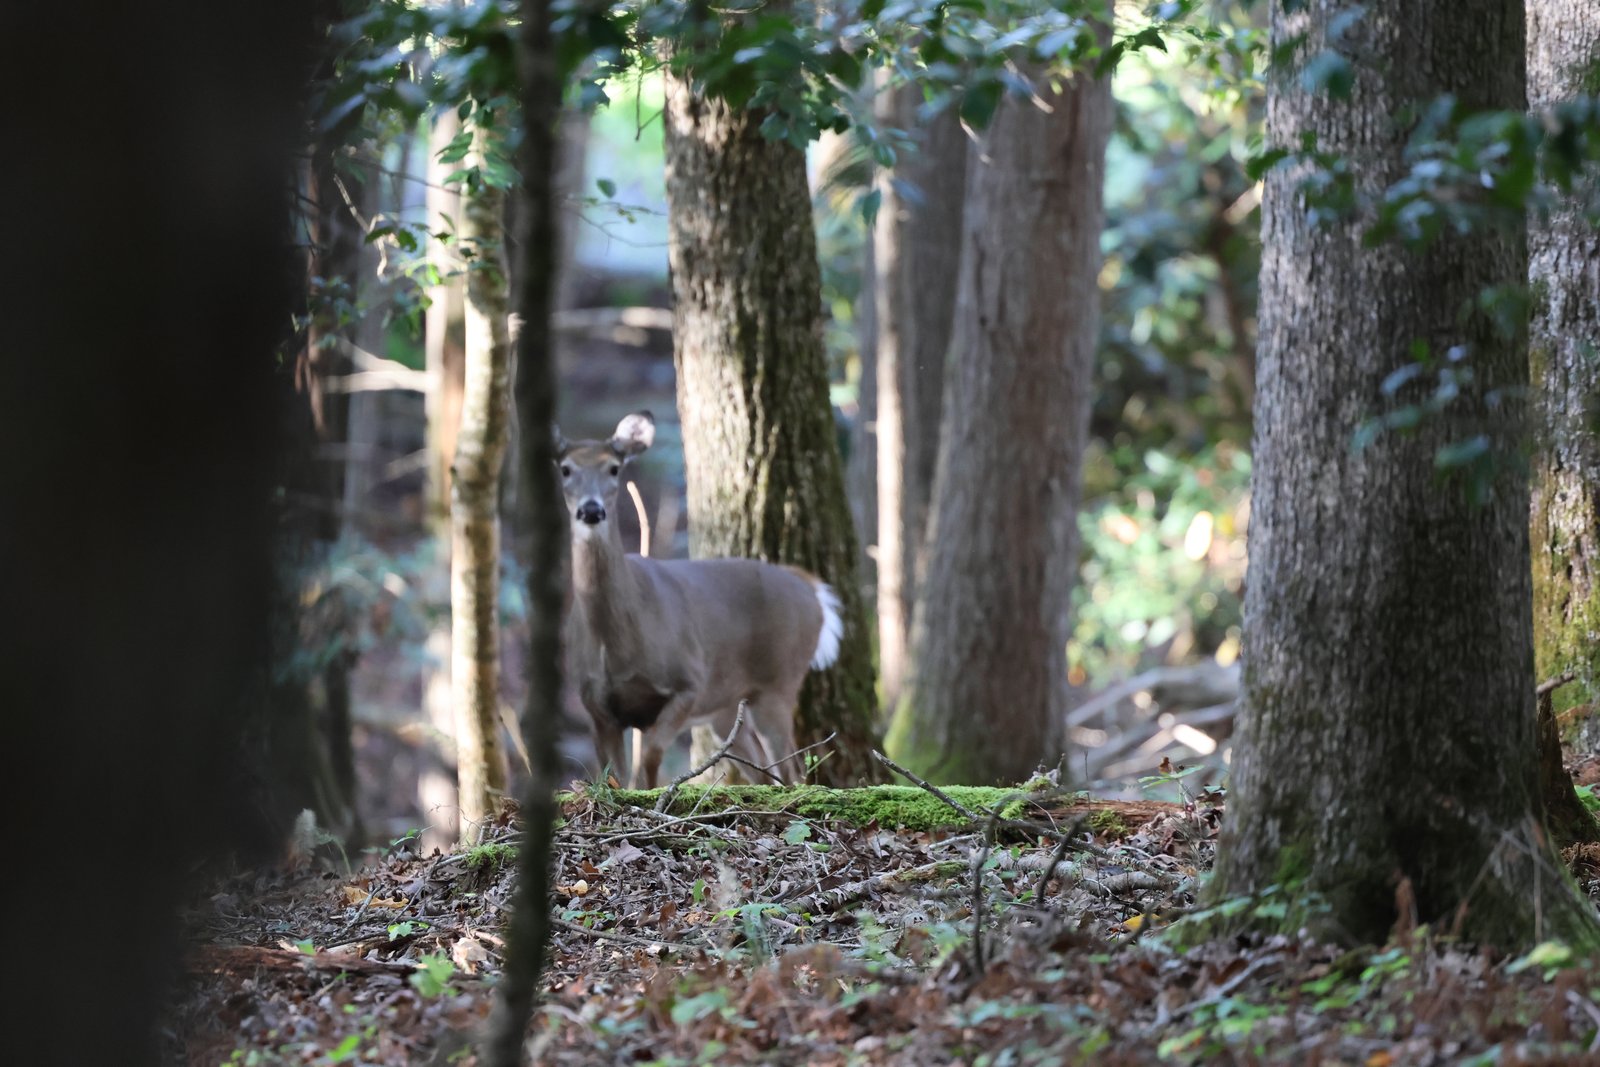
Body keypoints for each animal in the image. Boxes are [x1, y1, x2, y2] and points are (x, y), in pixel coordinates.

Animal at [555, 410, 843, 789]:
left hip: (779, 680)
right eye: (565, 468)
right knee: (763, 773)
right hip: (726, 707)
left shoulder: (689, 682)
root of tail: (810, 588)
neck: (619, 643)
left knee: (792, 771)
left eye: (614, 468)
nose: (591, 510)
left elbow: (649, 759)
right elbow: (615, 776)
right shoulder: (597, 706)